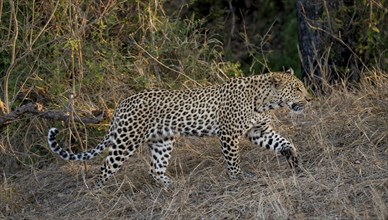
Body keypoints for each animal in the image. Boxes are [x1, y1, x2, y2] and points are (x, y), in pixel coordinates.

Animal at [47, 68, 310, 190]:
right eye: (297, 89)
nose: (309, 99)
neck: (265, 100)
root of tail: (122, 104)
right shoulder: (228, 134)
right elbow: (233, 160)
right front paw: (238, 178)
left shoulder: (258, 131)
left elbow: (284, 142)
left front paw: (295, 160)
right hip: (126, 141)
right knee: (104, 169)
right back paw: (98, 193)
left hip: (162, 141)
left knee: (155, 169)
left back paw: (173, 186)